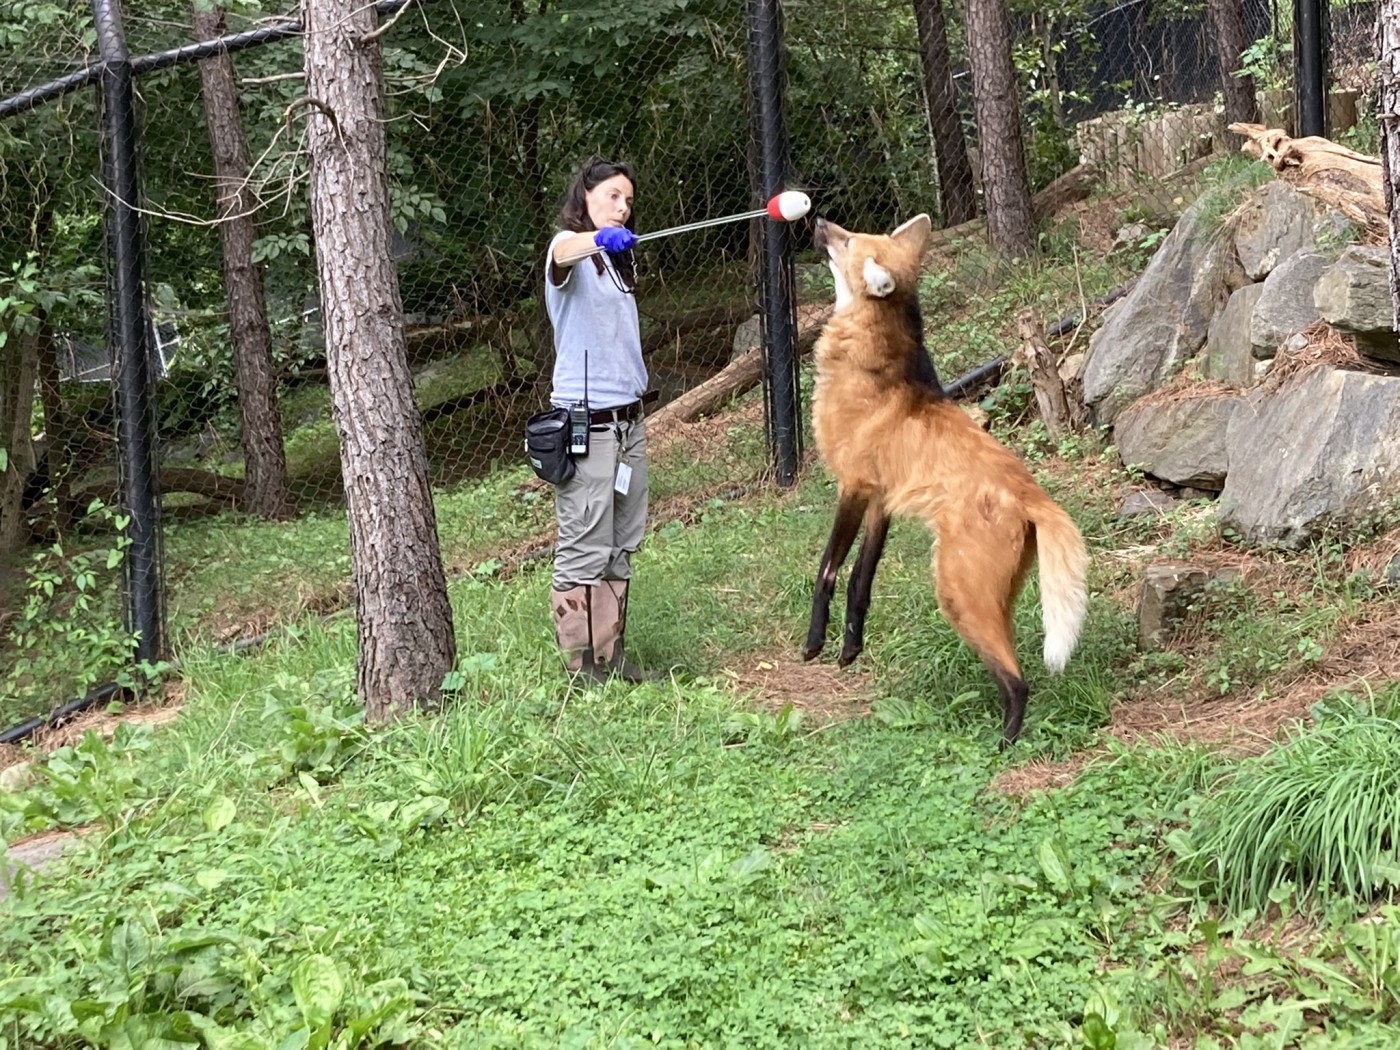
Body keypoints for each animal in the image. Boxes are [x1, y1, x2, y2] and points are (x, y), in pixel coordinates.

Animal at [806, 211, 1086, 750]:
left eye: (847, 241)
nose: (819, 220)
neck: (867, 364)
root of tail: (1033, 495)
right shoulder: (881, 499)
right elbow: (859, 580)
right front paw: (850, 648)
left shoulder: (854, 486)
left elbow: (827, 570)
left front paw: (813, 642)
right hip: (992, 591)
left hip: (957, 591)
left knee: (1017, 681)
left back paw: (1002, 746)